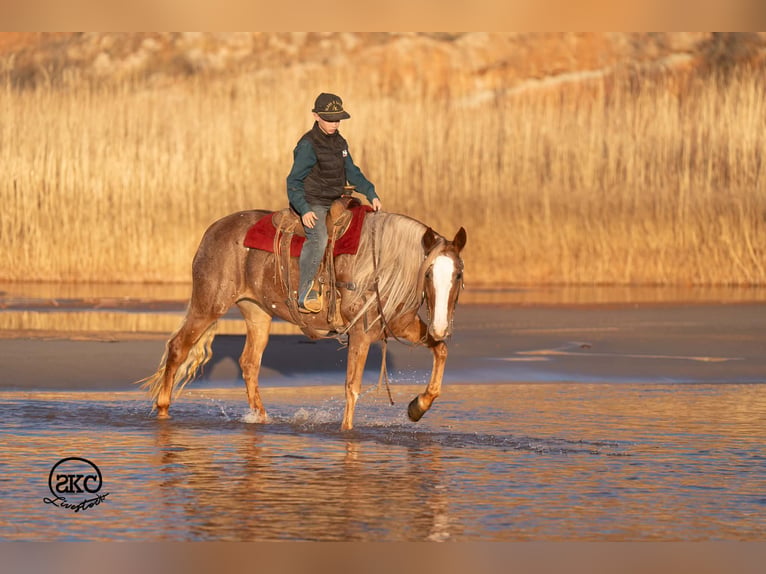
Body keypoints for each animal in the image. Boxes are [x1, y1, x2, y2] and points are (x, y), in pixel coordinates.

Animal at [140, 200, 467, 431]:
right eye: (428, 274)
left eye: (459, 274)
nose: (441, 326)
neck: (381, 265)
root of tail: (213, 231)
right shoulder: (360, 333)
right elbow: (352, 387)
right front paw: (347, 432)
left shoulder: (403, 324)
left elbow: (441, 350)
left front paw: (418, 407)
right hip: (209, 304)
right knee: (178, 348)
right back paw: (163, 409)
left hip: (256, 312)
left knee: (249, 363)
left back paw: (261, 418)